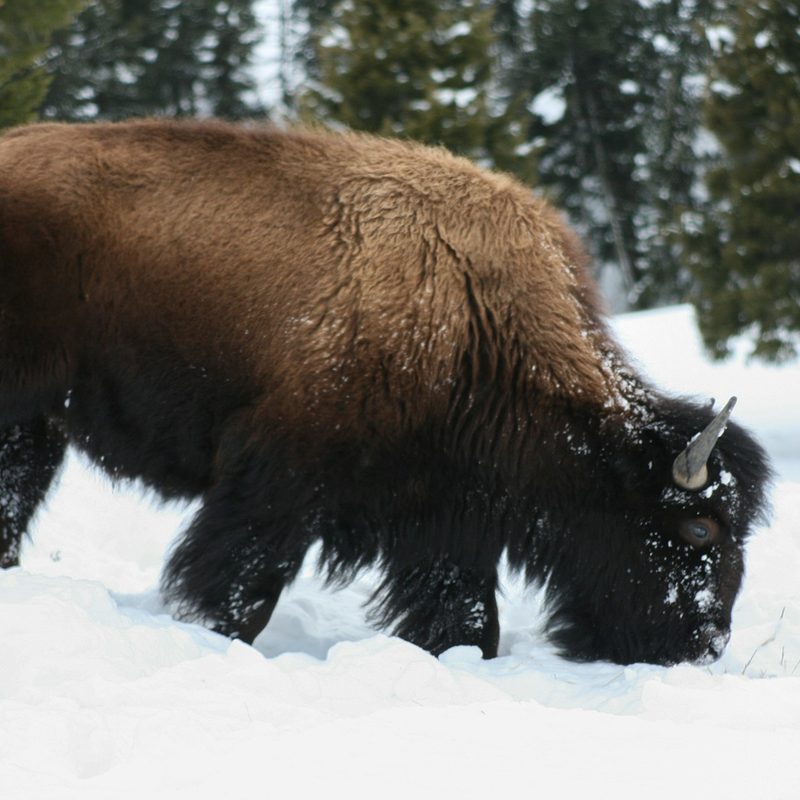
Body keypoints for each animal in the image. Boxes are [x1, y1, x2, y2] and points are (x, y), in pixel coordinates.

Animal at [0, 119, 770, 664]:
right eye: (700, 527)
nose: (705, 645)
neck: (478, 317)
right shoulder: (278, 482)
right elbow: (241, 584)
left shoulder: (448, 516)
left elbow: (467, 618)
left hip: (34, 424)